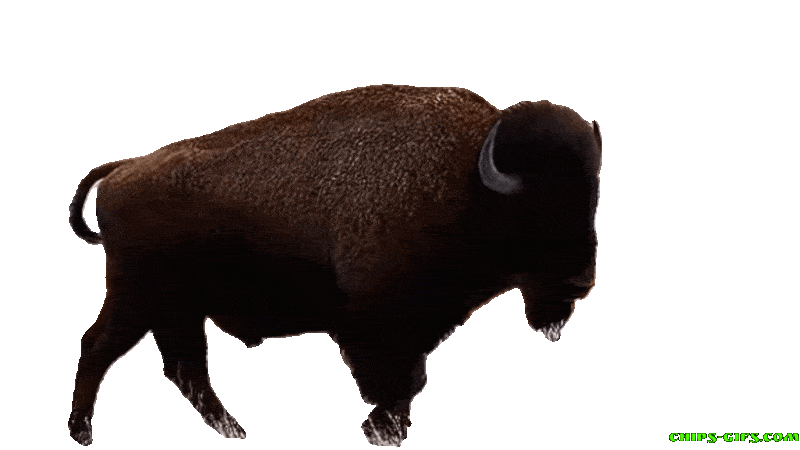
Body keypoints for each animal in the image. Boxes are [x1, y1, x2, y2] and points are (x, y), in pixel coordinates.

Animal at [68, 85, 601, 446]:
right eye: (539, 210)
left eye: (592, 198)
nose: (581, 283)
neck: (464, 178)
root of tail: (122, 169)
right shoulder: (377, 328)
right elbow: (394, 386)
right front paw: (384, 432)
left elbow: (406, 385)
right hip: (139, 298)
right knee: (101, 348)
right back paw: (83, 433)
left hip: (176, 312)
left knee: (183, 369)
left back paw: (231, 429)